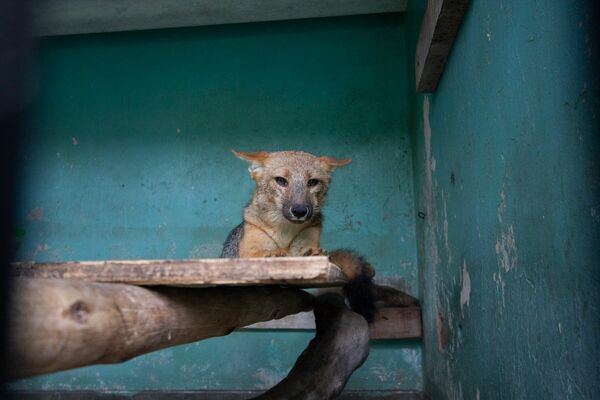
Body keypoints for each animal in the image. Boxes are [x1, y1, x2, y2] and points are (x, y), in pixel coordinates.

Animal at [221, 150, 418, 322]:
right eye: (281, 180)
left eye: (312, 182)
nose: (300, 210)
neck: (285, 232)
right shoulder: (247, 253)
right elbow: (265, 253)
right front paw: (276, 253)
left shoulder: (309, 243)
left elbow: (319, 254)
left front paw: (312, 254)